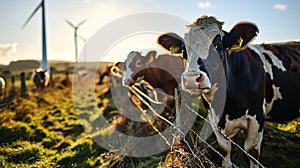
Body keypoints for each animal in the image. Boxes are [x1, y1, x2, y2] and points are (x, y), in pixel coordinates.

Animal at [158, 15, 300, 167]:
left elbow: (252, 152)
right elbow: (224, 150)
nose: (191, 78)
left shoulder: (257, 117)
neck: (226, 105)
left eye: (218, 46)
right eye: (184, 50)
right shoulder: (214, 120)